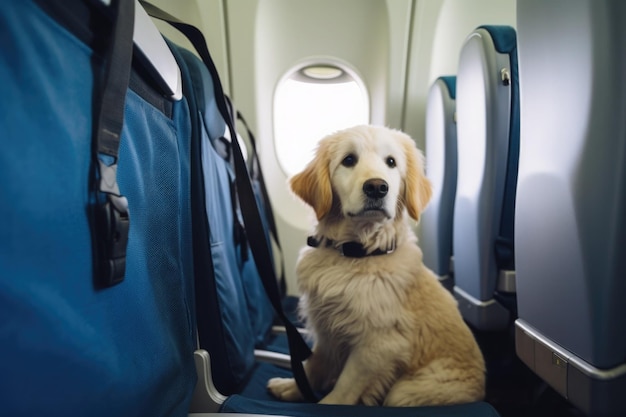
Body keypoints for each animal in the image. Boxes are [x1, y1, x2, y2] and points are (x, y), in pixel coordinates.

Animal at [266, 124, 486, 406]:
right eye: (349, 160)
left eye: (391, 162)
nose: (377, 187)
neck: (358, 253)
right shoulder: (327, 326)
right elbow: (315, 363)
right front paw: (292, 387)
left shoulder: (378, 345)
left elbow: (345, 386)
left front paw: (324, 404)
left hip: (403, 392)